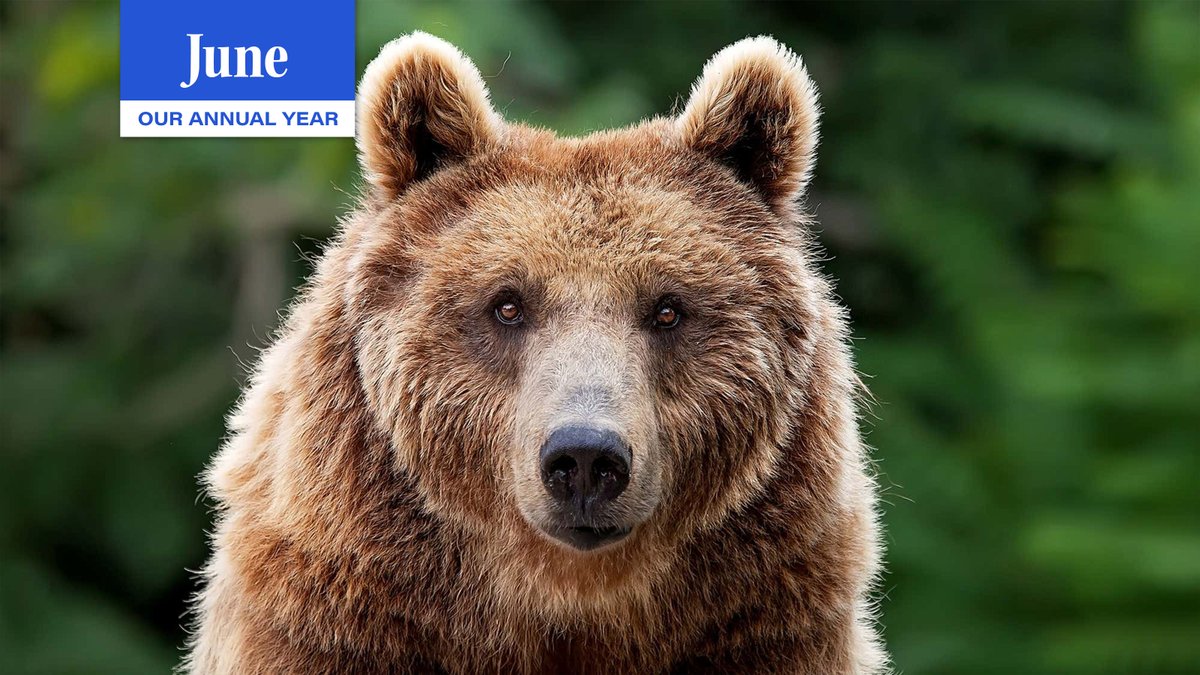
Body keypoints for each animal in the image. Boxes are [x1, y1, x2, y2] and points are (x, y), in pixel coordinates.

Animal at [184, 32, 887, 674]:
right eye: (507, 304)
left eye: (667, 309)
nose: (586, 457)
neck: (560, 597)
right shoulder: (338, 622)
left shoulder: (765, 627)